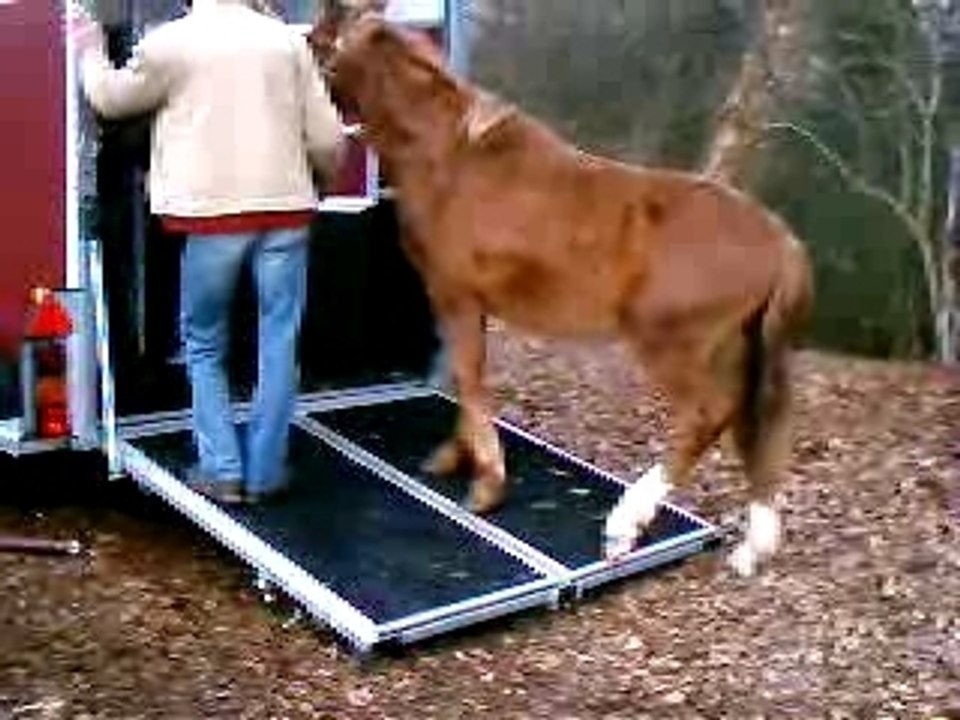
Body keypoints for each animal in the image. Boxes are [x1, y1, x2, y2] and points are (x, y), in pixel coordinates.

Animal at [309, 9, 814, 577]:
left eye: (322, 41)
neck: (451, 157)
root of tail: (781, 243)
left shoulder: (455, 295)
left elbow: (469, 377)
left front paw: (486, 483)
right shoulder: (471, 305)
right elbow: (469, 375)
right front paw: (455, 457)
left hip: (674, 345)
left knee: (708, 415)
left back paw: (625, 525)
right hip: (744, 350)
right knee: (753, 425)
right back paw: (752, 549)